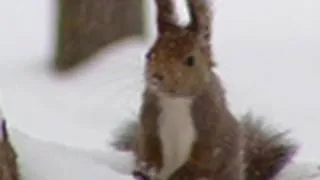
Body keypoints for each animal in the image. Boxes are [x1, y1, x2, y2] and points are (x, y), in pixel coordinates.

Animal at [112, 0, 298, 179]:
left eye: (190, 60)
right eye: (149, 54)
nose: (157, 77)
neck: (176, 101)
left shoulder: (211, 127)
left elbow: (204, 158)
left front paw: (182, 174)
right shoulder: (149, 120)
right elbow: (148, 146)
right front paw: (149, 167)